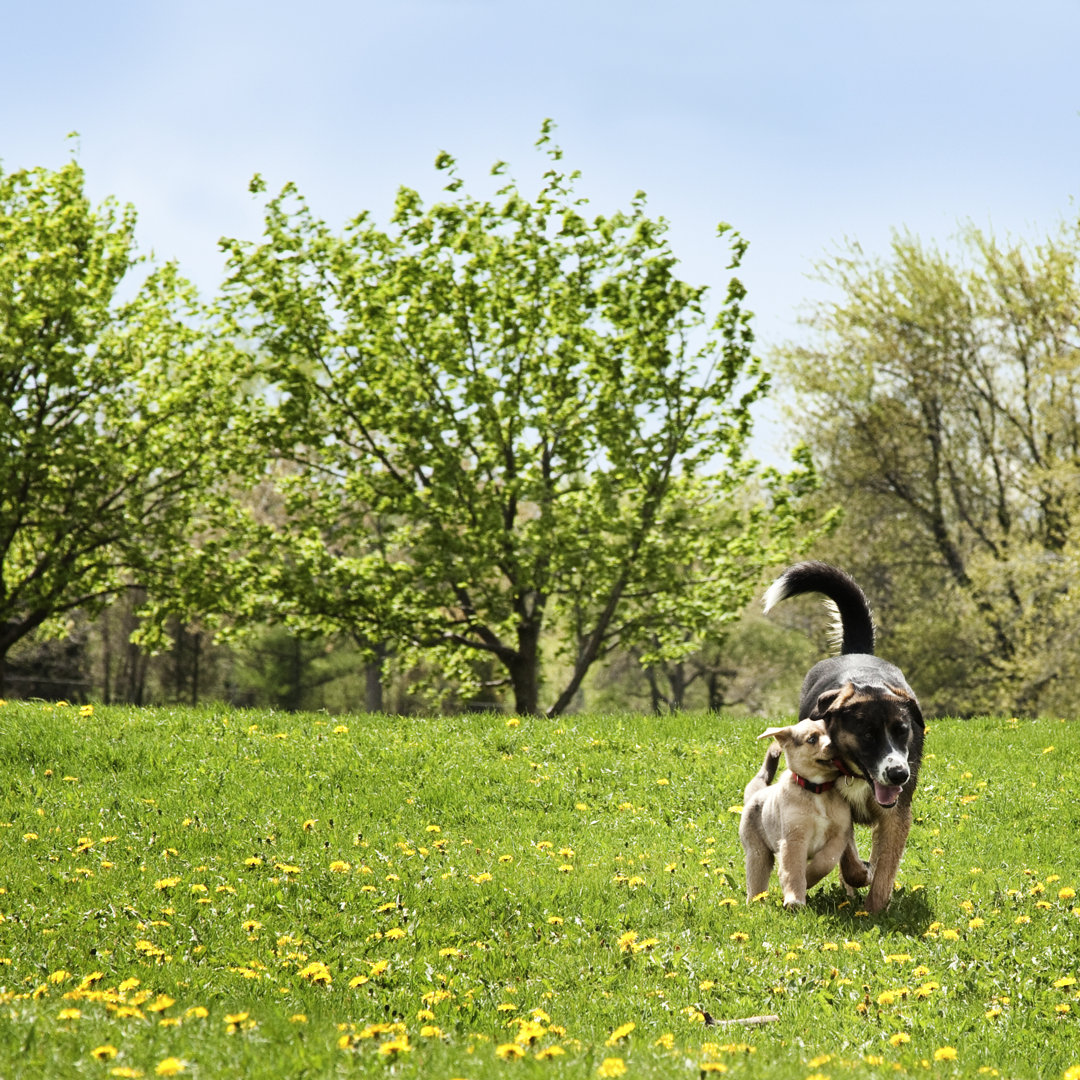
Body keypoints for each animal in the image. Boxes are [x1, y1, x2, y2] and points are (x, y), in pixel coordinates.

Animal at [743, 721, 851, 907]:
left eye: (832, 731)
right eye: (812, 739)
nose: (835, 745)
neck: (817, 789)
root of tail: (756, 793)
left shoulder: (839, 836)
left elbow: (825, 862)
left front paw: (809, 876)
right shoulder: (794, 838)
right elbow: (792, 870)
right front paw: (795, 899)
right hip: (757, 852)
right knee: (756, 883)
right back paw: (755, 906)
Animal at [764, 565, 924, 911]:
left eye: (902, 731)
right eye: (867, 735)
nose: (898, 774)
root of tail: (856, 652)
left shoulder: (896, 814)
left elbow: (885, 867)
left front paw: (876, 909)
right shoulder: (838, 808)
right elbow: (848, 857)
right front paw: (858, 875)